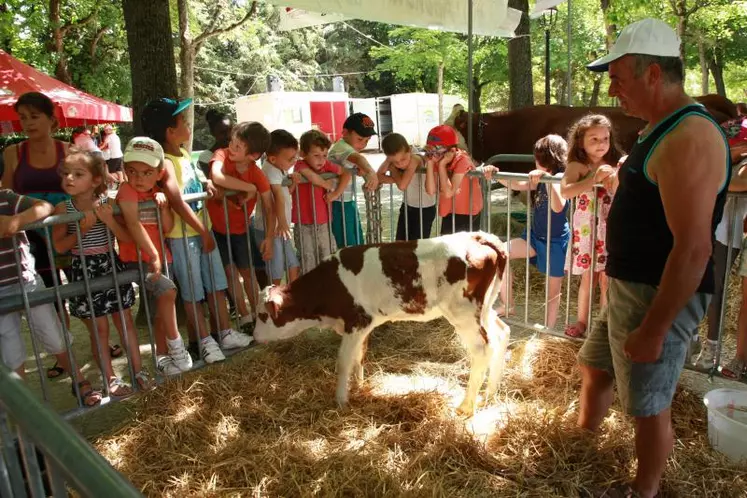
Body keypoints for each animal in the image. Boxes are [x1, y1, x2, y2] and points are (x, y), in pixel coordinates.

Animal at [254, 231, 512, 416]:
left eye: (263, 315)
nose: (255, 336)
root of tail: (479, 236)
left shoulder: (356, 321)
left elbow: (344, 361)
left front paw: (341, 400)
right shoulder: (363, 325)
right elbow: (359, 356)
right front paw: (359, 386)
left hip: (463, 313)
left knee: (482, 349)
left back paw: (466, 406)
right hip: (484, 309)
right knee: (501, 333)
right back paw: (490, 394)